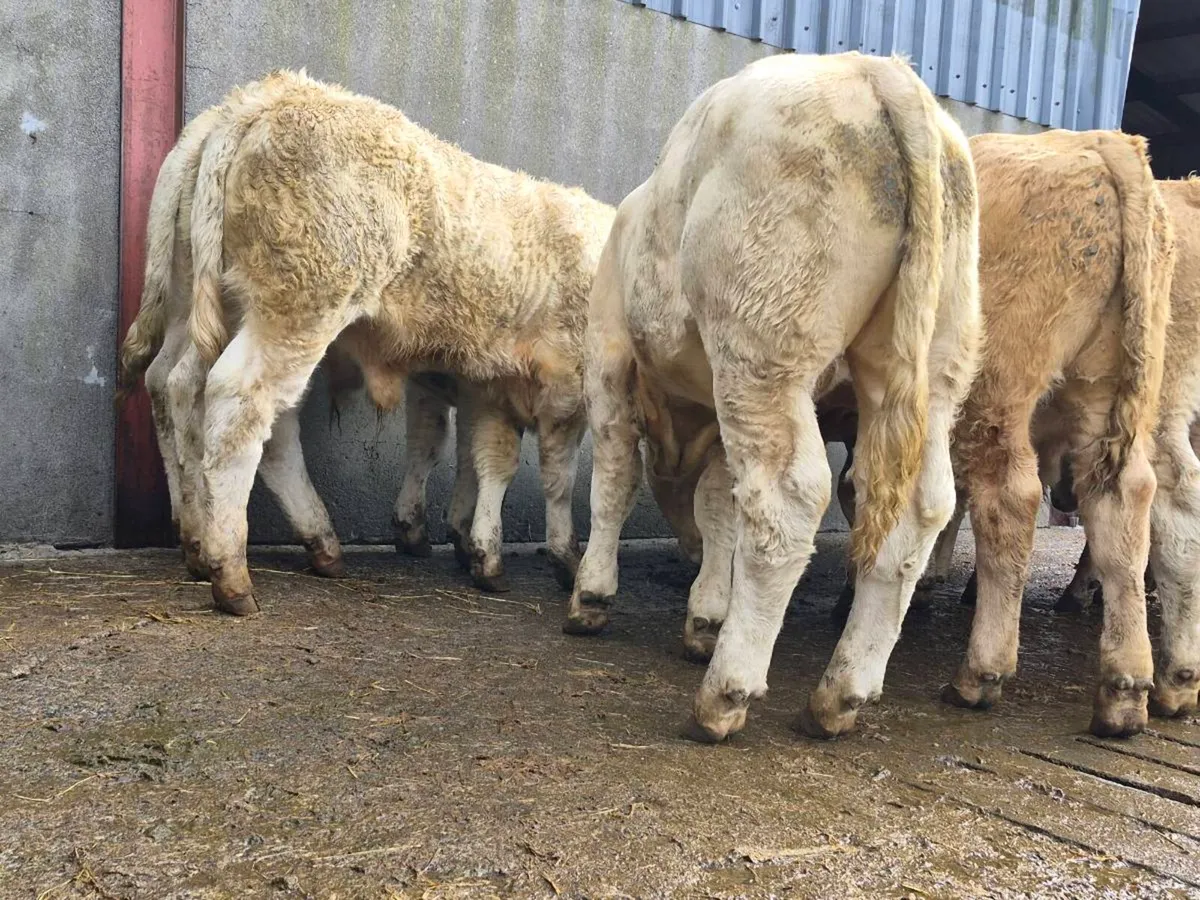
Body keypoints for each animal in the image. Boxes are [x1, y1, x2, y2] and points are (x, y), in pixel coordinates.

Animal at [125, 70, 616, 613]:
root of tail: (262, 99)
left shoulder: (481, 383)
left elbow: (461, 451)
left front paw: (462, 542)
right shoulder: (563, 387)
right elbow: (554, 475)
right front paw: (561, 558)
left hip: (205, 305)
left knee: (179, 387)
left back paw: (233, 540)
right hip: (298, 307)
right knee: (241, 406)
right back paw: (231, 570)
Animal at [565, 51, 982, 742]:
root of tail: (877, 70)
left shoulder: (608, 355)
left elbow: (615, 481)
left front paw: (592, 596)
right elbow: (720, 506)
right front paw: (706, 615)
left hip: (762, 346)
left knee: (790, 499)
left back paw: (724, 695)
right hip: (934, 365)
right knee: (923, 508)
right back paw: (840, 695)